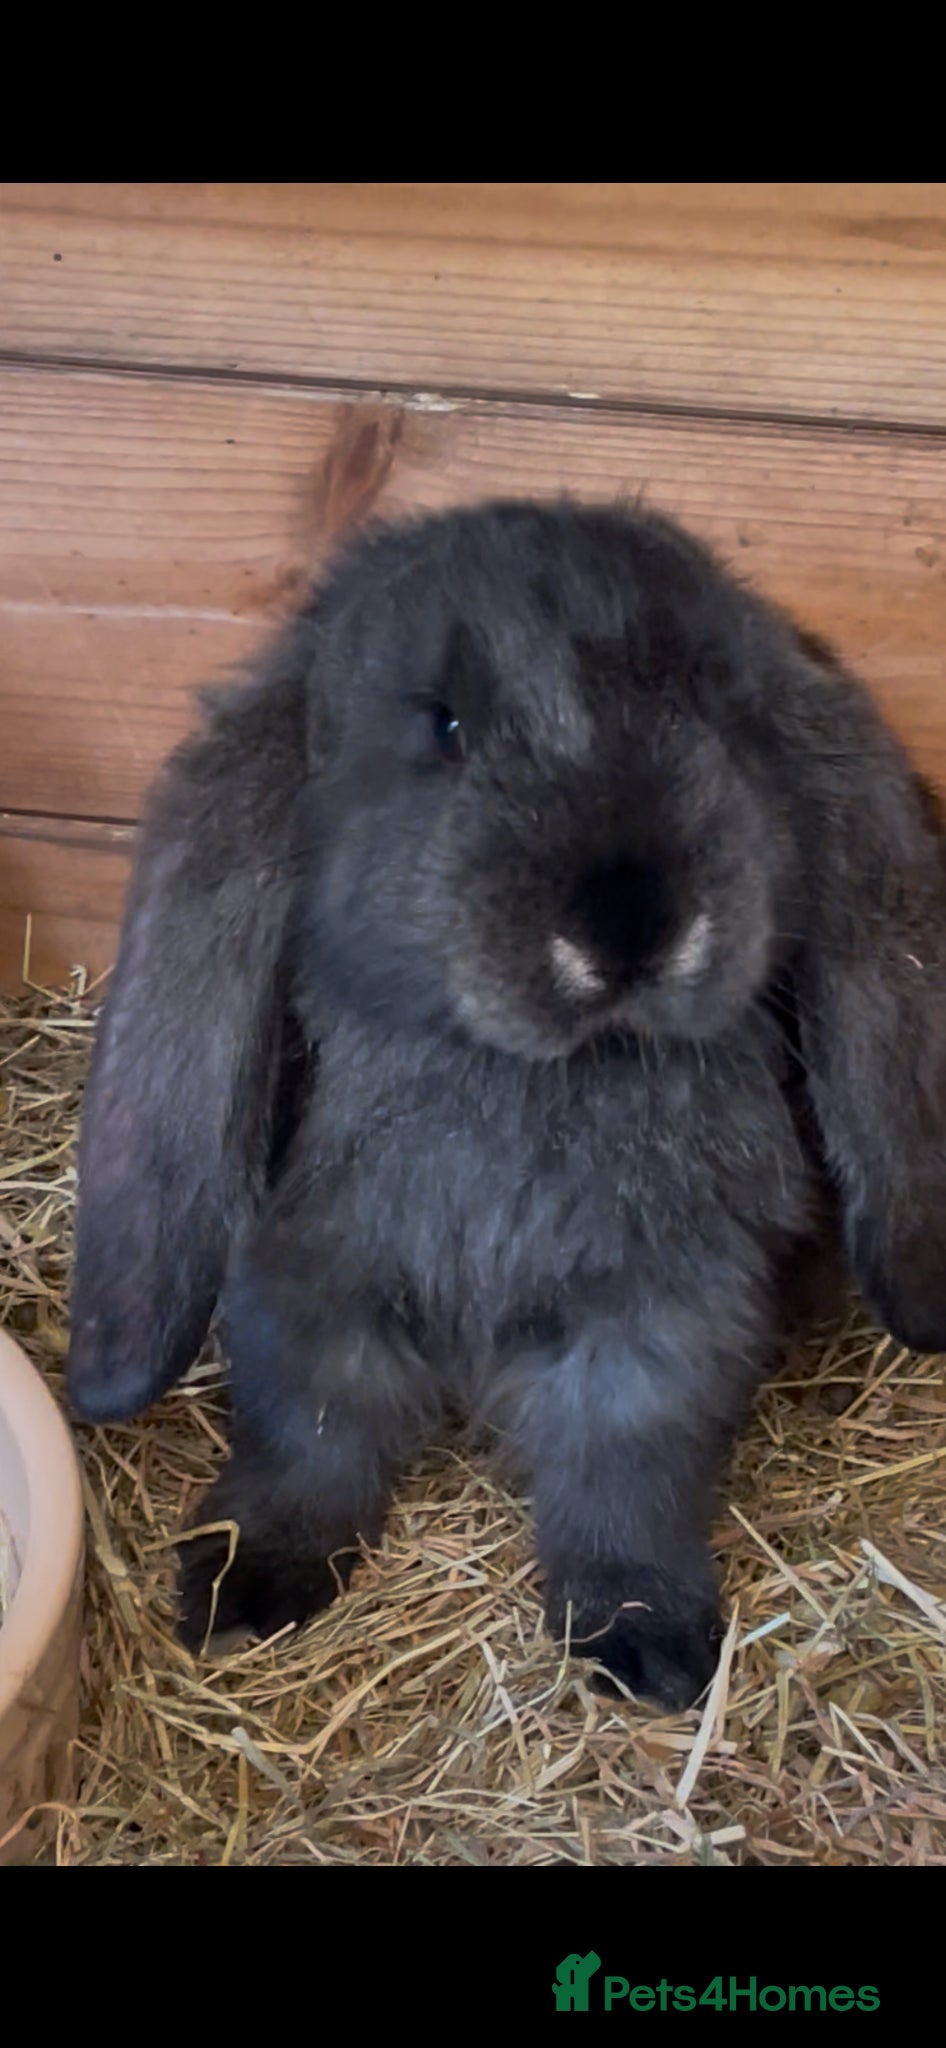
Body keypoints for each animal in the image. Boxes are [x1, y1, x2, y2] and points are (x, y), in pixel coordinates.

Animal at [66, 499, 946, 1710]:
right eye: (443, 727)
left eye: (708, 710)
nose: (629, 922)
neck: (531, 1077)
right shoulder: (309, 1282)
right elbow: (310, 1437)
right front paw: (246, 1588)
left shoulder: (664, 1312)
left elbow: (622, 1471)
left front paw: (647, 1642)